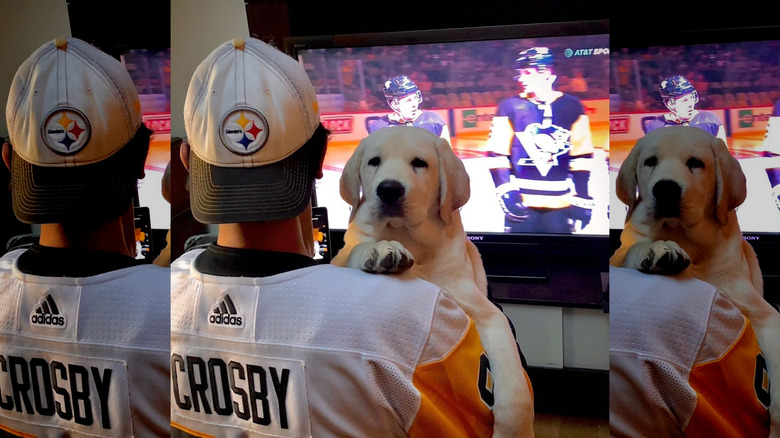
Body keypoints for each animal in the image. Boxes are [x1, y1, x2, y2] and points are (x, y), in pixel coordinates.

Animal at [332, 126, 532, 438]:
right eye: (374, 161)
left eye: (419, 163)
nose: (389, 189)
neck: (411, 240)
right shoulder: (340, 258)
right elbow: (356, 249)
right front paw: (380, 250)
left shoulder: (489, 315)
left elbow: (513, 381)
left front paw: (515, 429)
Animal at [612, 125, 776, 436]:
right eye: (650, 162)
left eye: (696, 163)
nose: (665, 188)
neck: (687, 240)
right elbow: (635, 248)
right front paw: (658, 249)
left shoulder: (762, 313)